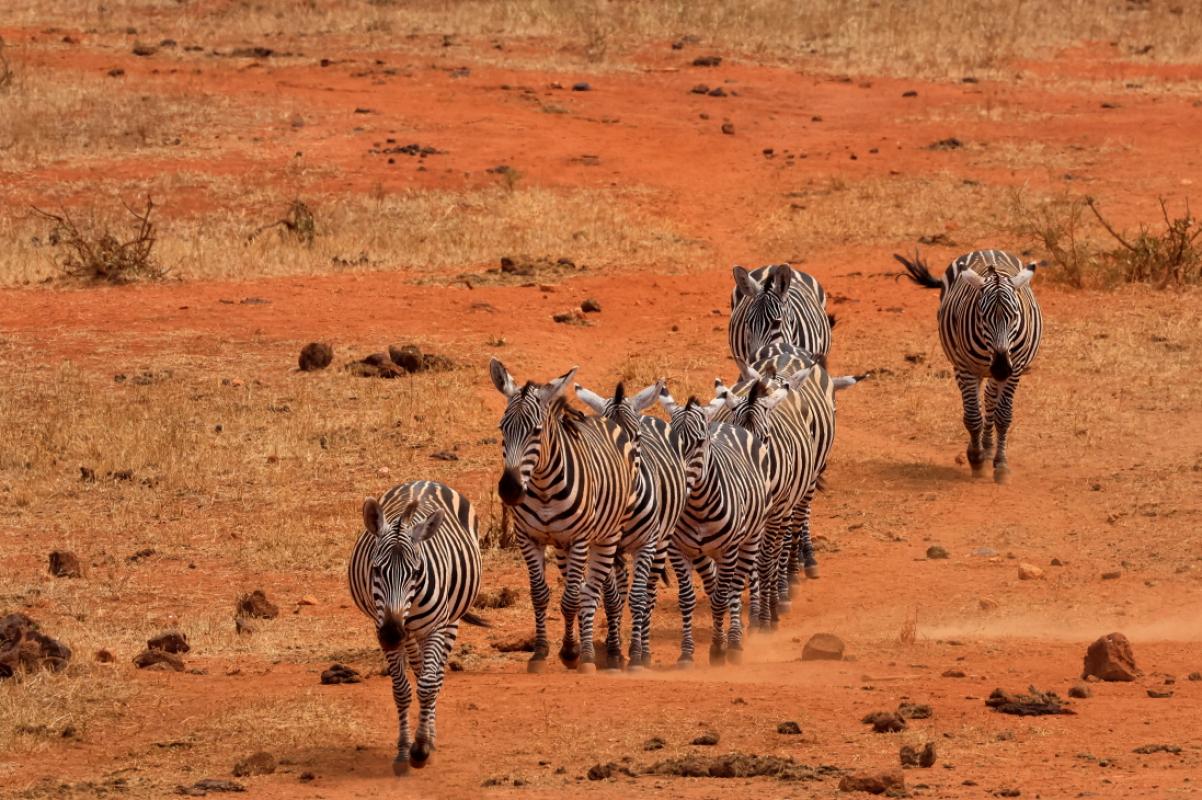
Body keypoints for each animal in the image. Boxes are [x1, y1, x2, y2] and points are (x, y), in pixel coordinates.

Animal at [348, 480, 486, 774]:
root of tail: (424, 481)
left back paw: (430, 737)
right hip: (410, 635)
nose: (392, 634)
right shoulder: (382, 625)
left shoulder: (435, 627)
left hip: (449, 620)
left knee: (436, 675)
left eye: (415, 572)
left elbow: (428, 685)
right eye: (376, 570)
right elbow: (402, 690)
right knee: (420, 666)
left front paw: (421, 747)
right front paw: (403, 751)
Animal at [490, 359, 636, 673]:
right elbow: (540, 595)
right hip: (563, 547)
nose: (509, 489)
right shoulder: (529, 538)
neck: (544, 487)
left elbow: (572, 599)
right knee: (587, 590)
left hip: (607, 537)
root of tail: (601, 418)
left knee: (593, 593)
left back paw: (603, 653)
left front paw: (573, 653)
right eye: (502, 428)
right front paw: (542, 652)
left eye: (536, 431)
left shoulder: (580, 539)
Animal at [575, 380, 687, 669]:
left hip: (662, 541)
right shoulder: (606, 544)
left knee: (649, 594)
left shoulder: (645, 544)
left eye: (635, 438)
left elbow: (638, 598)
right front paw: (614, 653)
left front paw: (636, 655)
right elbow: (612, 599)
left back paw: (644, 650)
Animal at [657, 388, 770, 666]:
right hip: (705, 553)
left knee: (735, 587)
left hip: (750, 539)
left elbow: (722, 598)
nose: (678, 483)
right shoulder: (679, 551)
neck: (697, 507)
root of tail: (723, 425)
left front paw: (719, 649)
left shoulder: (729, 550)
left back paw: (736, 640)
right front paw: (687, 652)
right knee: (716, 585)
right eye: (670, 443)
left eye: (699, 443)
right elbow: (687, 599)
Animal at [897, 249, 1042, 482]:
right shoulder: (966, 368)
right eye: (982, 317)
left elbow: (1003, 416)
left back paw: (989, 446)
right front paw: (976, 459)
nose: (1000, 368)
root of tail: (988, 249)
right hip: (963, 366)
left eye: (1015, 316)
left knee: (990, 399)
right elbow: (973, 416)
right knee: (978, 403)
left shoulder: (1015, 367)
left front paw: (1001, 465)